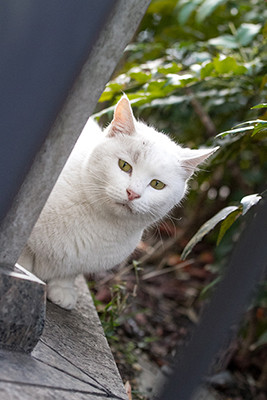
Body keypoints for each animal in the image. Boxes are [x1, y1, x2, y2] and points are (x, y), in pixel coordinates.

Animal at [18, 96, 218, 310]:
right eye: (124, 166)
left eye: (157, 184)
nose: (132, 194)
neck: (98, 220)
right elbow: (24, 255)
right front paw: (23, 272)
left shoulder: (80, 261)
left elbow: (68, 273)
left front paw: (62, 289)